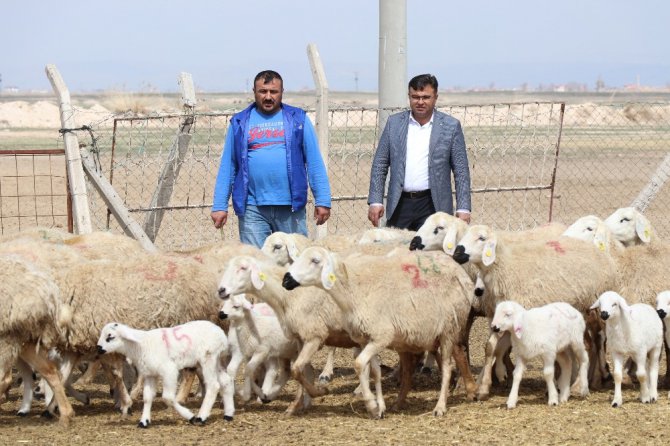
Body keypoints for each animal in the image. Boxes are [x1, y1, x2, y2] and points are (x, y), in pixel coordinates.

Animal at [96, 318, 235, 426]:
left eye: (110, 337)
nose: (98, 349)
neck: (141, 346)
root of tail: (221, 333)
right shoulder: (150, 374)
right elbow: (147, 398)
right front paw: (144, 421)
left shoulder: (169, 371)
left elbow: (167, 397)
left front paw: (190, 416)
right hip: (216, 360)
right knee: (226, 381)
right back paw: (228, 414)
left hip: (208, 358)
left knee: (213, 385)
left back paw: (202, 417)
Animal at [282, 247, 478, 418]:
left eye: (315, 260)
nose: (286, 279)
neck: (353, 291)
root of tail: (460, 271)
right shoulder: (366, 339)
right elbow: (374, 371)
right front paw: (380, 408)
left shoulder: (382, 336)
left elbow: (359, 364)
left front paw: (370, 403)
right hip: (426, 335)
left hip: (449, 330)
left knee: (447, 367)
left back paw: (440, 406)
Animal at [452, 225, 620, 398]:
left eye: (482, 238)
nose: (456, 253)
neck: (506, 267)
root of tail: (605, 257)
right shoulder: (498, 318)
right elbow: (490, 348)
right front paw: (484, 388)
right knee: (588, 344)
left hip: (593, 310)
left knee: (591, 344)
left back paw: (581, 384)